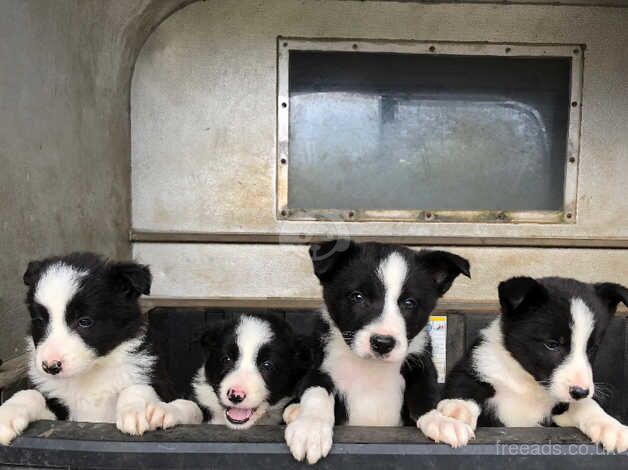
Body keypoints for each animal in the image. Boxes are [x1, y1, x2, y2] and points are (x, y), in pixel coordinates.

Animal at [0, 252, 201, 446]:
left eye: (85, 321)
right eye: (39, 321)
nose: (50, 366)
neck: (92, 373)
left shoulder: (158, 383)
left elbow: (136, 388)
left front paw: (136, 411)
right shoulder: (60, 411)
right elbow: (30, 394)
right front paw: (7, 415)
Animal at [284, 241, 472, 464]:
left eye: (409, 303)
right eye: (358, 297)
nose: (383, 343)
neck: (371, 368)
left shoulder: (421, 365)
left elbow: (425, 394)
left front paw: (440, 421)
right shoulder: (319, 367)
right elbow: (316, 392)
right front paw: (310, 429)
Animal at [418, 276, 628, 452]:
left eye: (592, 348)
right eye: (552, 345)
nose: (580, 392)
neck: (527, 384)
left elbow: (586, 405)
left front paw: (611, 427)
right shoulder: (477, 366)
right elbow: (466, 385)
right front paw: (454, 414)